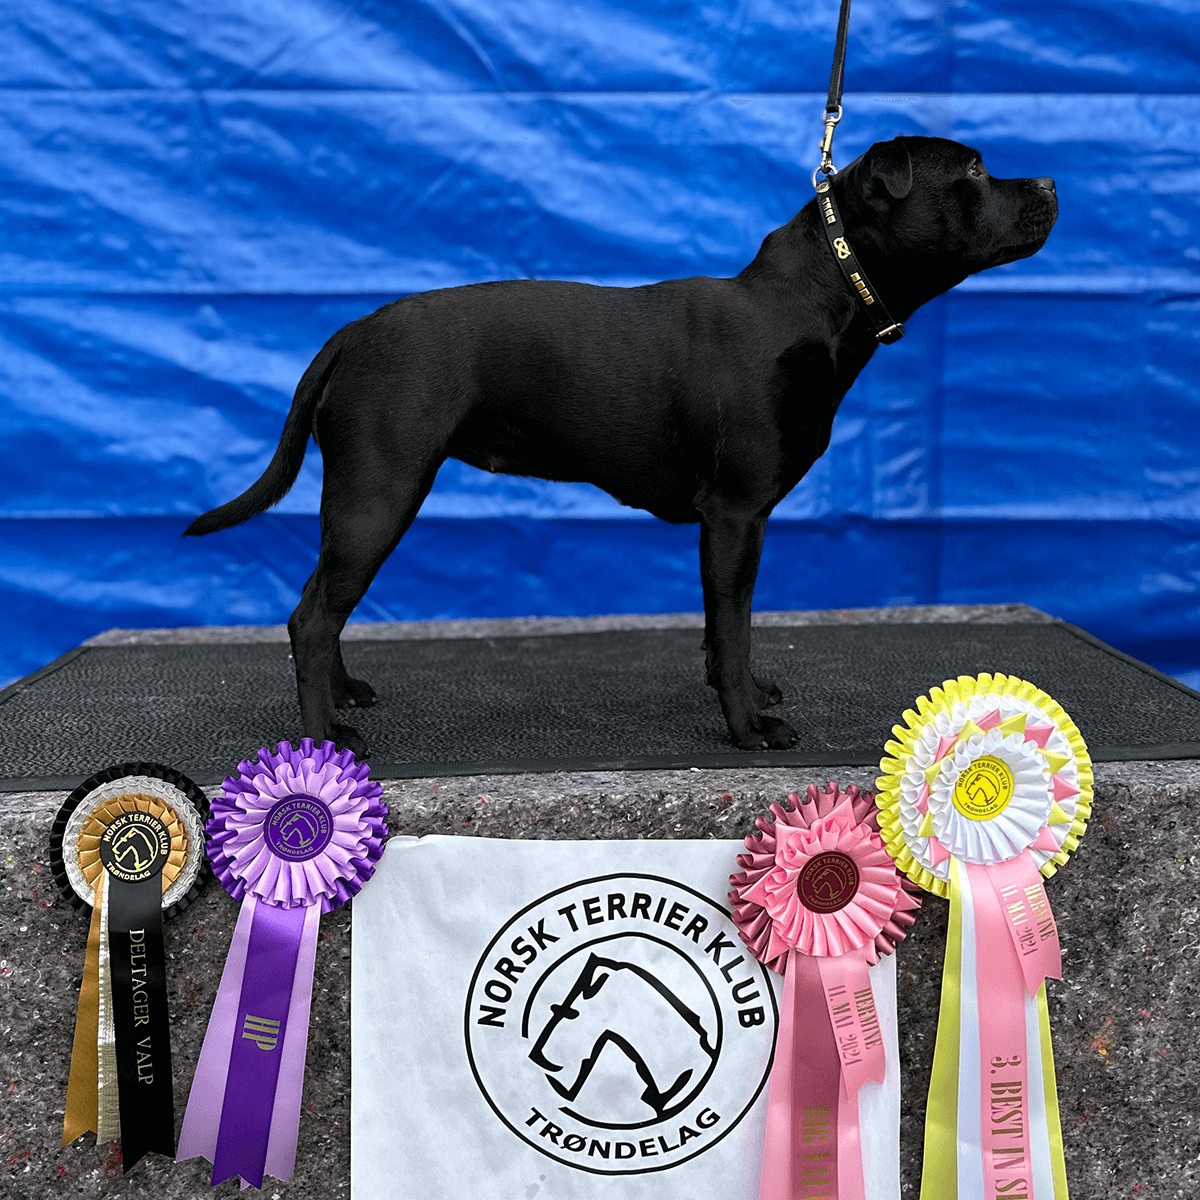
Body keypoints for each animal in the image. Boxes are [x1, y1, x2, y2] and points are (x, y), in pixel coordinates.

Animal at [182, 136, 1056, 753]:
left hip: (366, 500)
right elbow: (736, 624)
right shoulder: (737, 514)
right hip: (381, 492)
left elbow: (719, 629)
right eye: (973, 169)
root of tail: (355, 332)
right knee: (312, 615)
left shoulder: (728, 527)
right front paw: (747, 728)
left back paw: (343, 694)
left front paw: (743, 692)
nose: (1050, 184)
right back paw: (325, 736)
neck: (819, 293)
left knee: (320, 602)